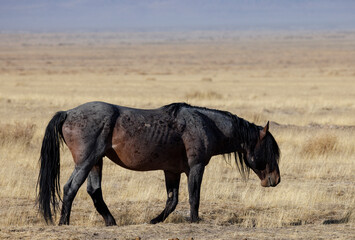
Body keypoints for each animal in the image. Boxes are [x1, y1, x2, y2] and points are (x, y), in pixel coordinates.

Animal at [36, 101, 280, 225]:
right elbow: (194, 197)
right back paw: (64, 222)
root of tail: (68, 113)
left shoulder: (171, 171)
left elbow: (172, 200)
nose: (275, 180)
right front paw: (195, 221)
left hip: (96, 162)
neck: (206, 124)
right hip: (86, 162)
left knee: (94, 191)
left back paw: (111, 222)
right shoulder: (196, 168)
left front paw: (154, 221)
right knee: (70, 188)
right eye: (269, 150)